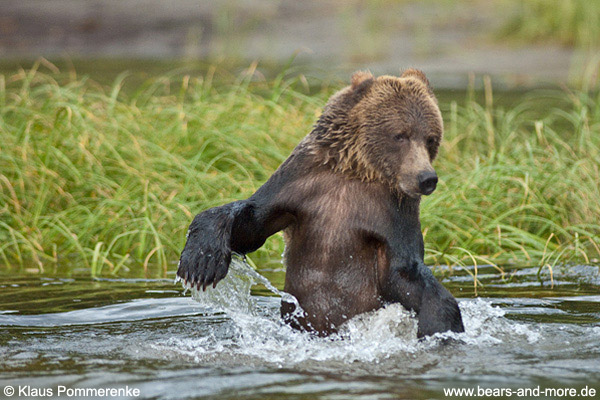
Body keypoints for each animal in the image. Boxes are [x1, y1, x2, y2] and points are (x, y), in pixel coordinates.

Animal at [176, 69, 466, 338]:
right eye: (400, 135)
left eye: (430, 138)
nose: (426, 178)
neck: (356, 172)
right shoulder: (301, 183)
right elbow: (251, 225)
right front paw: (201, 261)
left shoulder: (393, 212)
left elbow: (405, 274)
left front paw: (439, 324)